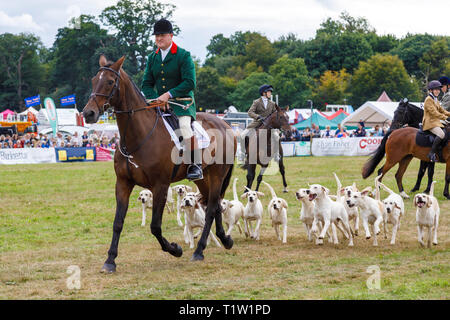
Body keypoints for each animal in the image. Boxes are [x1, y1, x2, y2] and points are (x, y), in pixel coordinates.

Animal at [82, 55, 236, 270]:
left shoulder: (160, 186)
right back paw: (225, 239)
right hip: (203, 178)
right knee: (213, 207)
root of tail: (225, 124)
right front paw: (110, 260)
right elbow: (118, 222)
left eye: (111, 82)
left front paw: (175, 249)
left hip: (216, 176)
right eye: (94, 80)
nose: (88, 113)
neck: (139, 136)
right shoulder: (123, 184)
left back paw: (199, 251)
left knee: (212, 207)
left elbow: (155, 226)